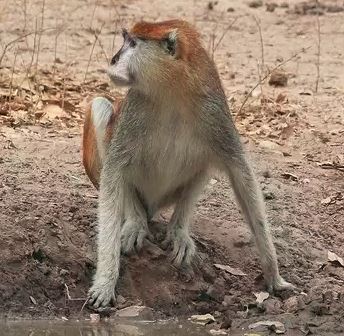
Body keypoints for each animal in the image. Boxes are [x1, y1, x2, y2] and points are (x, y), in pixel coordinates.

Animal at [82, 19, 292, 308]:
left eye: (133, 44)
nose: (113, 60)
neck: (173, 89)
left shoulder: (214, 111)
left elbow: (241, 175)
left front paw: (274, 274)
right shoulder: (135, 111)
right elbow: (114, 172)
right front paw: (105, 280)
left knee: (205, 161)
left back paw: (178, 229)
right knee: (101, 107)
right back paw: (136, 219)